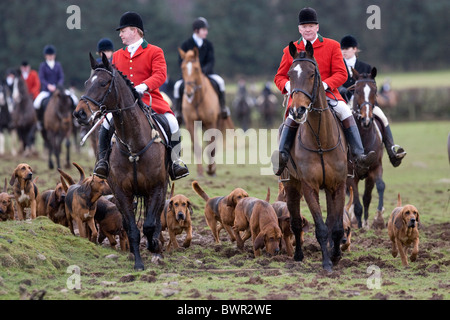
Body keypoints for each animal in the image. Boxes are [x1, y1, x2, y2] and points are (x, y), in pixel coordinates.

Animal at [74, 53, 169, 272]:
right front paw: (138, 263)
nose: (80, 113)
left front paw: (154, 246)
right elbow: (132, 228)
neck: (134, 143)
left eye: (103, 83)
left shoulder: (157, 187)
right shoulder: (121, 192)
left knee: (156, 217)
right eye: (86, 83)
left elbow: (150, 224)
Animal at [282, 41, 348, 272]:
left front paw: (335, 255)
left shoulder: (338, 185)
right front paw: (327, 262)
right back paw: (299, 255)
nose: (298, 110)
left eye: (312, 74)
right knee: (295, 222)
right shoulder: (309, 186)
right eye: (290, 75)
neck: (321, 140)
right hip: (292, 186)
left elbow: (335, 226)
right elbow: (320, 226)